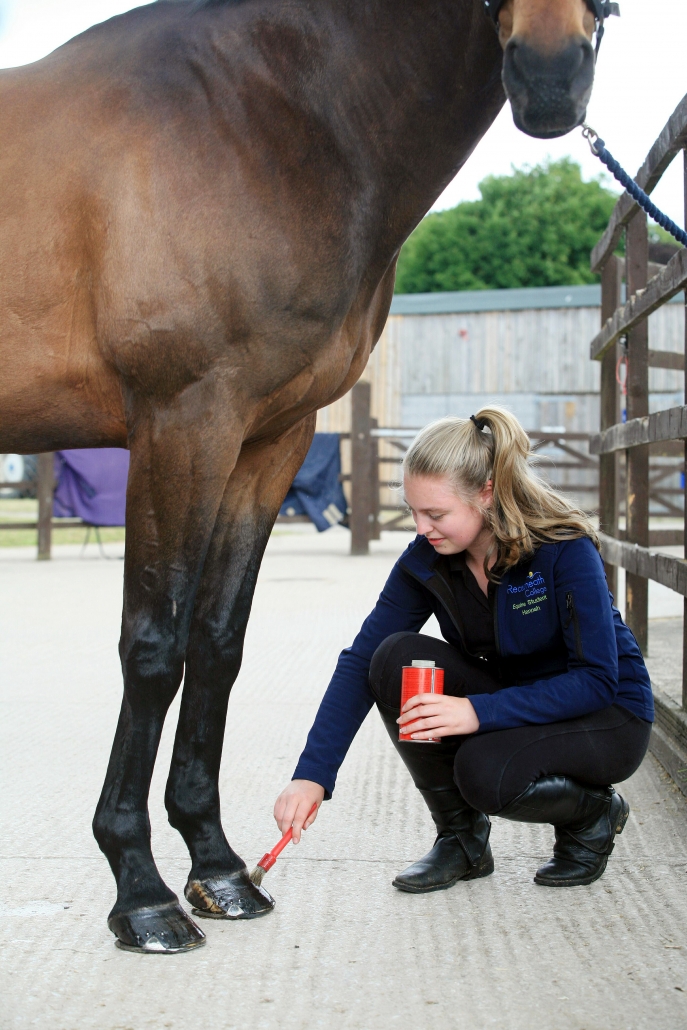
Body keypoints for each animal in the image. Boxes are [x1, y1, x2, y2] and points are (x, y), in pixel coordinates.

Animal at [0, 0, 608, 953]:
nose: (549, 80)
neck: (269, 114)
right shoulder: (183, 420)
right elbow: (154, 647)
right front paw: (141, 892)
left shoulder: (267, 440)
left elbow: (215, 645)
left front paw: (216, 868)